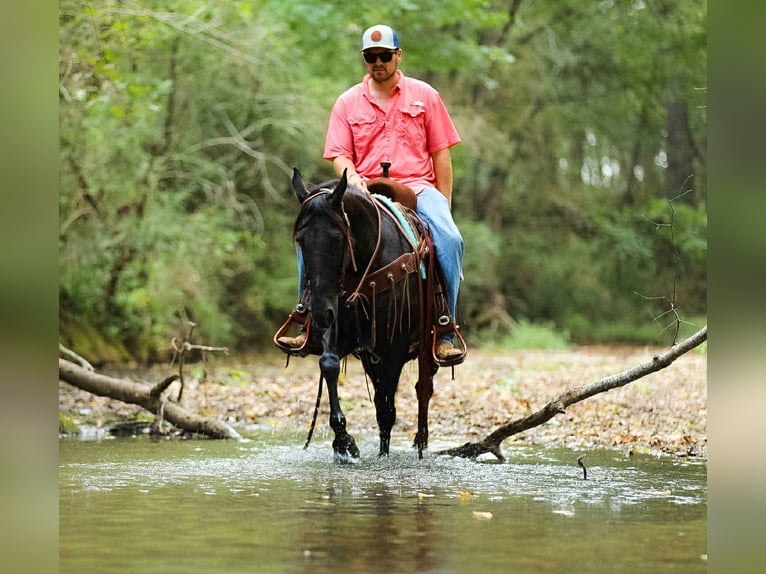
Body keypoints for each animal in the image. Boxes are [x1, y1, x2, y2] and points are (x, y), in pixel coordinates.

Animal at [282, 167, 442, 462]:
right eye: (300, 240)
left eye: (337, 238)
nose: (319, 312)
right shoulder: (340, 329)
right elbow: (329, 365)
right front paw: (344, 443)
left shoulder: (395, 345)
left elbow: (387, 409)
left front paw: (383, 455)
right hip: (370, 354)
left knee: (422, 388)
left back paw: (420, 442)